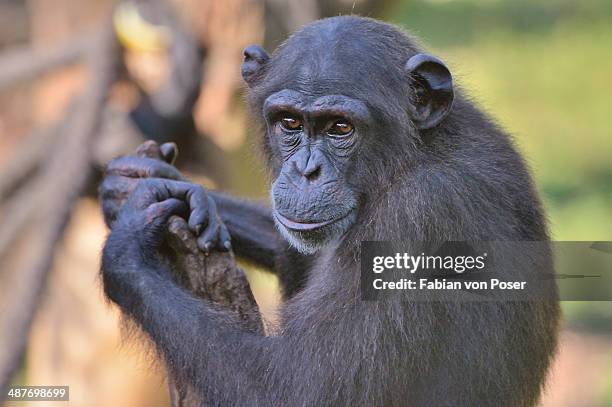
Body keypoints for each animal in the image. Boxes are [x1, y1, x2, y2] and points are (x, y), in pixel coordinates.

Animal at [99, 16, 560, 407]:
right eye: (289, 123)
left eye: (341, 127)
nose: (306, 170)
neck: (414, 153)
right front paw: (143, 182)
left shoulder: (417, 217)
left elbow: (299, 390)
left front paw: (128, 249)